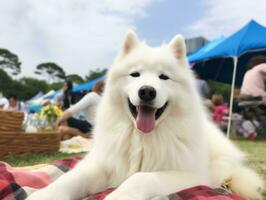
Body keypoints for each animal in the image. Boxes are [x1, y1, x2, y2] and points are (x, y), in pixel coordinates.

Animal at [26, 31, 262, 200]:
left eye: (164, 77)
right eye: (135, 74)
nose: (147, 91)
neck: (141, 138)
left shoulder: (191, 175)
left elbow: (140, 178)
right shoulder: (101, 164)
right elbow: (70, 179)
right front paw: (44, 195)